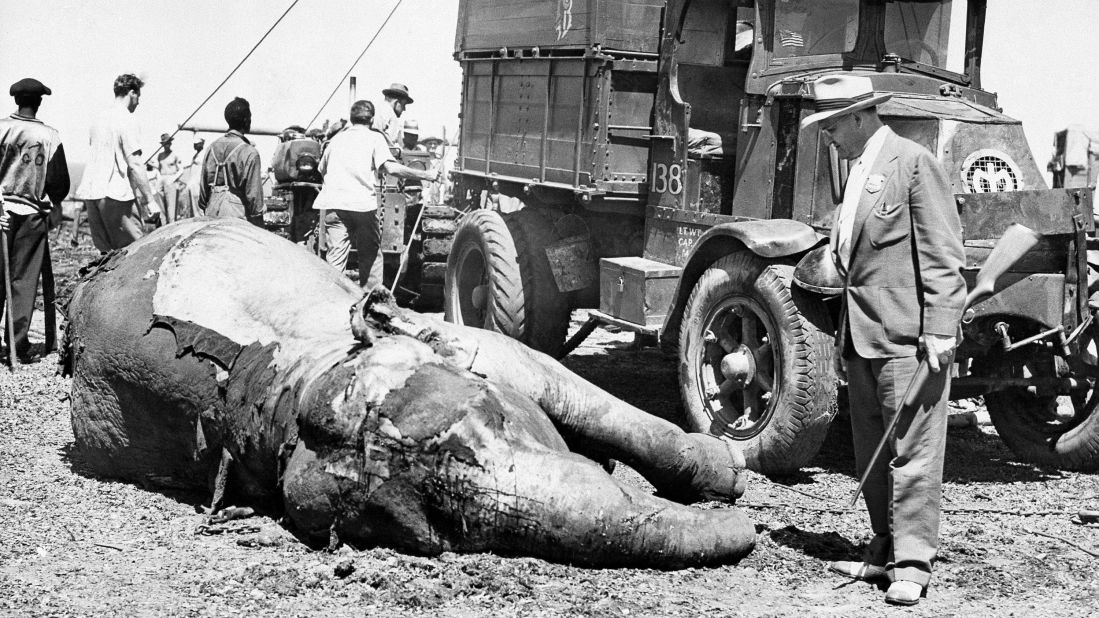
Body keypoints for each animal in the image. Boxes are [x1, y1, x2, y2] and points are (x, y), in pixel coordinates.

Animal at [64, 217, 760, 567]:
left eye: (489, 419)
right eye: (434, 526)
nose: (741, 530)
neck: (278, 384)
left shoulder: (465, 341)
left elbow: (557, 382)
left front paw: (725, 473)